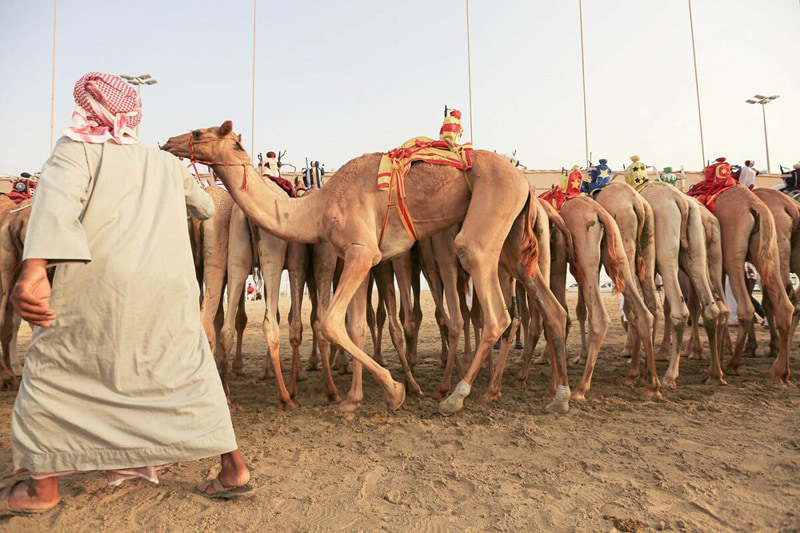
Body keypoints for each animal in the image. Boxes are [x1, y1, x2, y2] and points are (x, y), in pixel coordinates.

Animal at [162, 121, 571, 414]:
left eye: (199, 132)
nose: (168, 141)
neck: (318, 205)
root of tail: (525, 183)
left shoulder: (361, 252)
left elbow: (330, 322)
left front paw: (395, 391)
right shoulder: (360, 256)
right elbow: (355, 326)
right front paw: (353, 399)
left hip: (486, 220)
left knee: (497, 312)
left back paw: (456, 396)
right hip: (515, 239)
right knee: (552, 307)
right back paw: (560, 397)